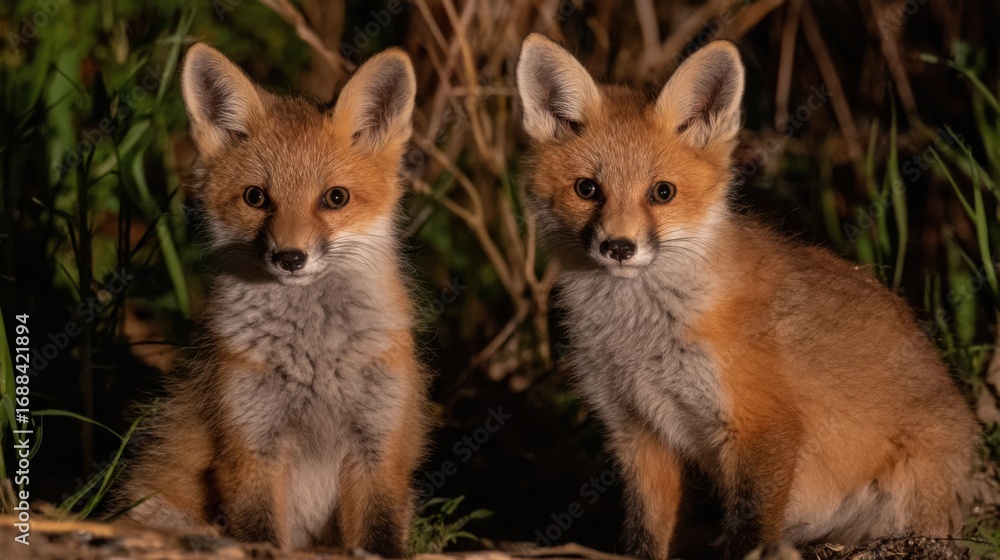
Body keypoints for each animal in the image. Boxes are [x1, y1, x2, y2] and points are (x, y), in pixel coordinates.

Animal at [115, 44, 427, 556]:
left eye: (335, 198)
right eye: (256, 197)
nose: (290, 257)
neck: (317, 364)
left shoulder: (379, 447)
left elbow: (380, 537)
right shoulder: (250, 445)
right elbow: (260, 532)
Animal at [515, 34, 976, 559]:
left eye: (662, 192)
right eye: (587, 189)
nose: (619, 247)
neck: (641, 340)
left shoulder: (763, 426)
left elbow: (750, 532)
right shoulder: (637, 431)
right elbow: (646, 534)